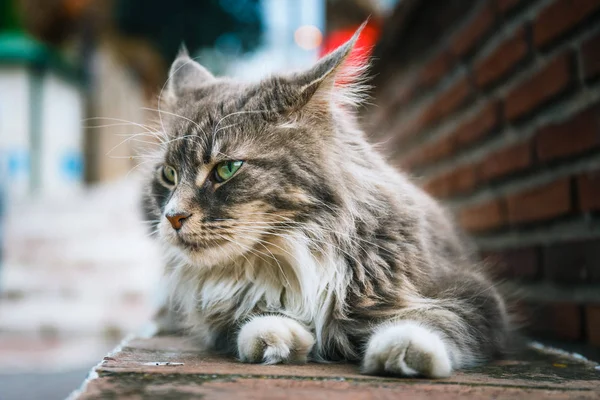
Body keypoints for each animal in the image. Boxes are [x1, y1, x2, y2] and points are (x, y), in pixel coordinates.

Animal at [143, 25, 512, 378]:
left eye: (227, 169)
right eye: (169, 174)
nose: (173, 216)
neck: (295, 252)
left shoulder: (476, 295)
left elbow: (437, 319)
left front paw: (403, 348)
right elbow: (255, 319)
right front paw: (275, 337)